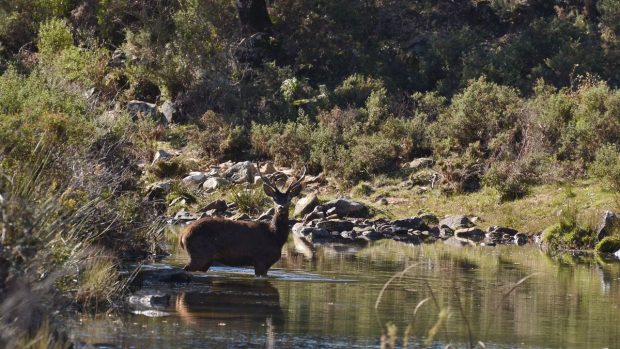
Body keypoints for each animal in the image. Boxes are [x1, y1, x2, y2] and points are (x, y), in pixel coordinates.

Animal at [178, 164, 306, 276]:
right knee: (186, 268)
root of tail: (182, 235)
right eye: (274, 198)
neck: (275, 236)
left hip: (206, 259)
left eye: (289, 199)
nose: (281, 207)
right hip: (199, 254)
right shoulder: (260, 259)